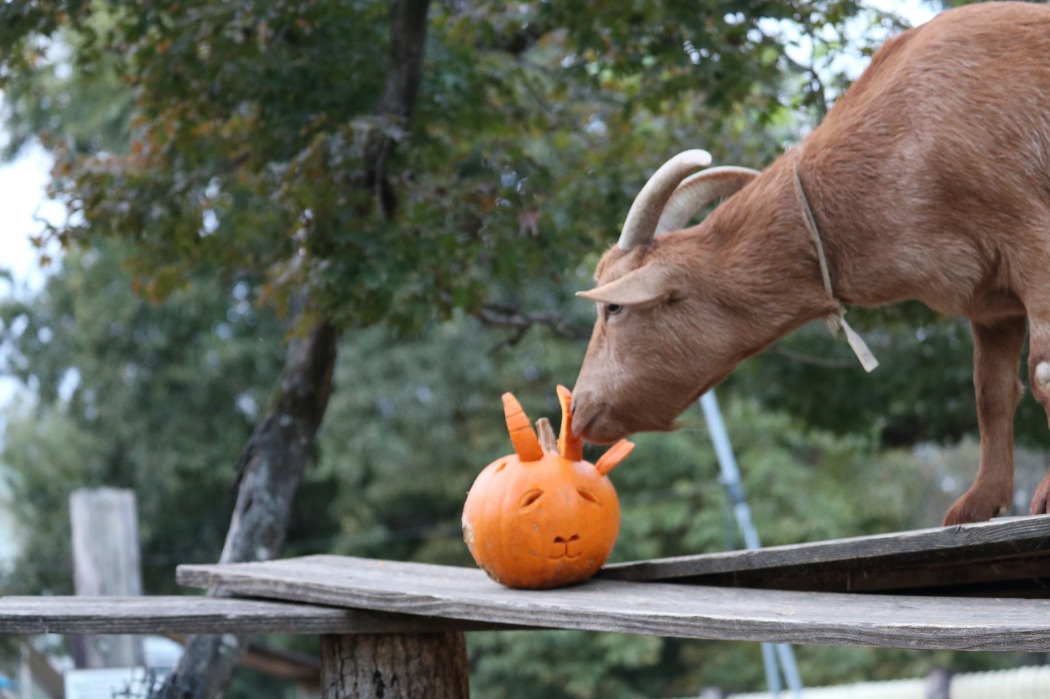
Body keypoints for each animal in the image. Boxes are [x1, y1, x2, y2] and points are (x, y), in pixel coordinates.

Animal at [571, 1, 1050, 522]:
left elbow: (1042, 373)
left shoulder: (1032, 241)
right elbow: (992, 392)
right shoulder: (989, 300)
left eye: (613, 307)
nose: (578, 410)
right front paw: (978, 504)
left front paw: (1043, 497)